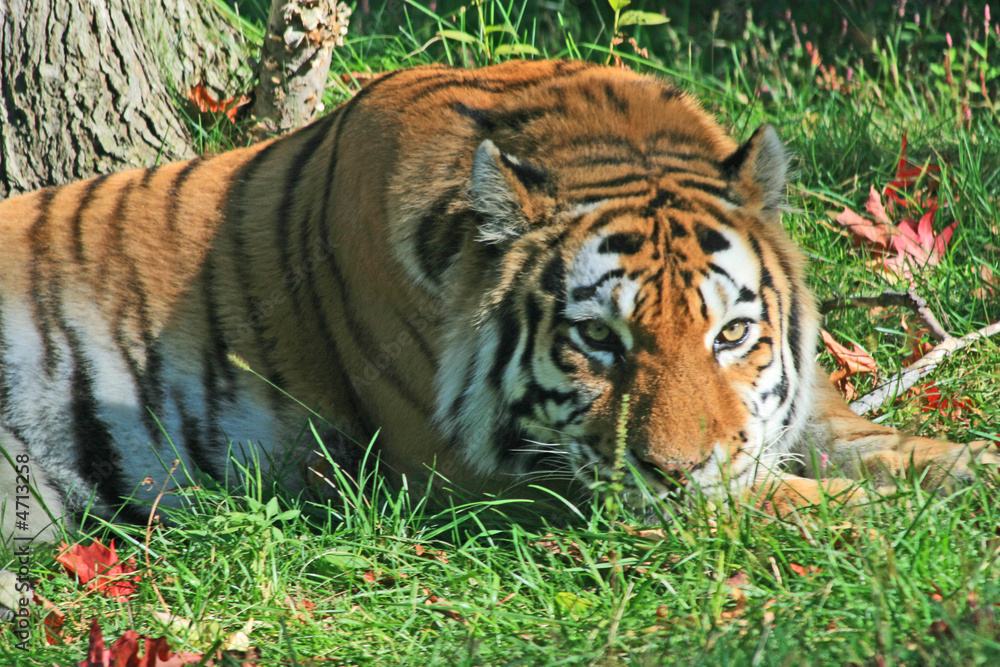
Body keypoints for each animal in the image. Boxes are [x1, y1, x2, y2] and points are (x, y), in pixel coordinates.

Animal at [0, 59, 995, 544]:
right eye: (597, 339)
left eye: (734, 333)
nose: (676, 471)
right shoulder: (476, 476)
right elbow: (781, 495)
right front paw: (888, 520)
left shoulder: (789, 407)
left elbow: (877, 440)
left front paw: (966, 470)